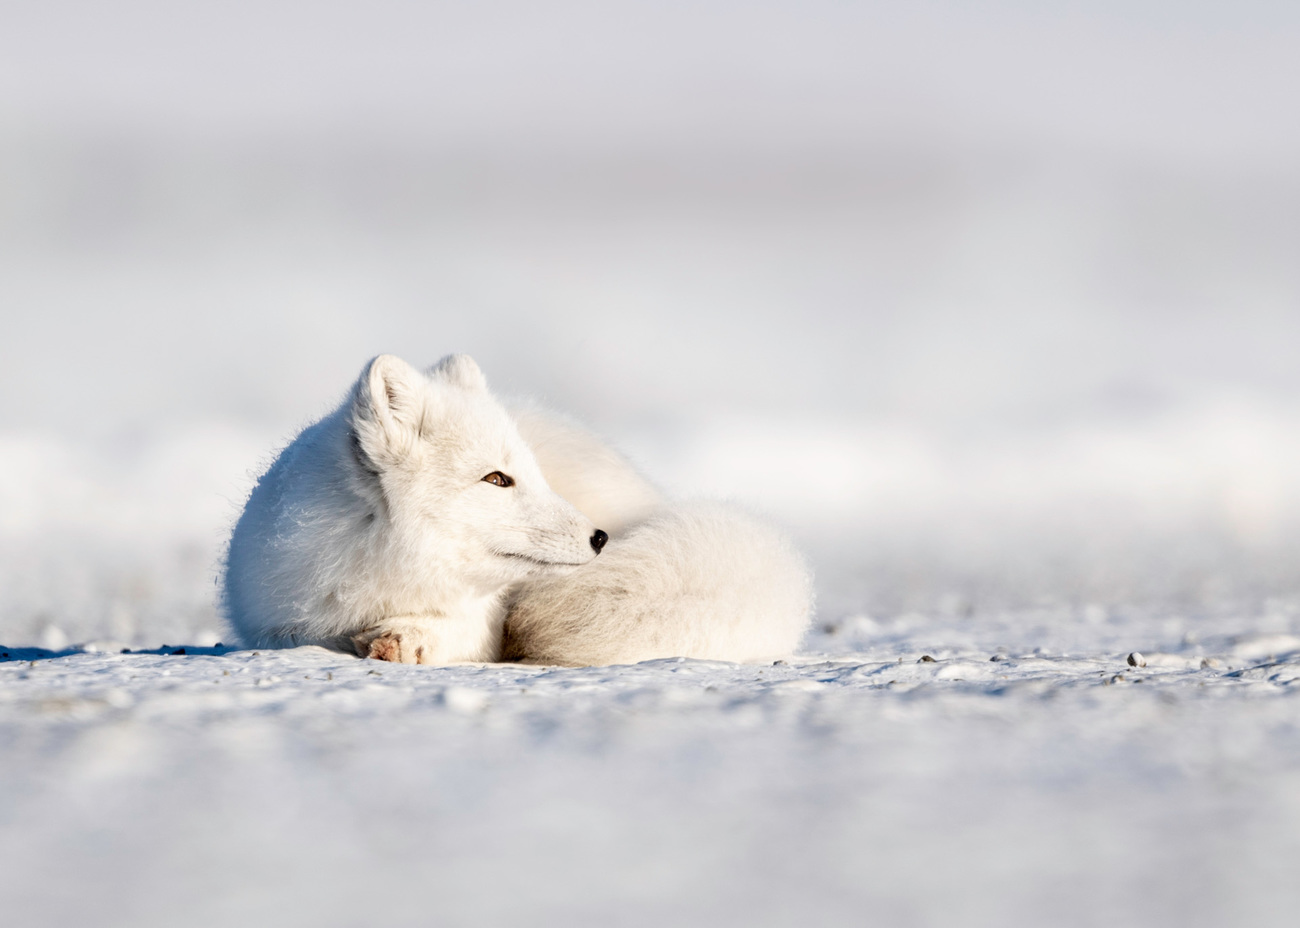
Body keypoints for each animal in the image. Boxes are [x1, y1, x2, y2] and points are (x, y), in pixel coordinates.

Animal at [223, 350, 811, 660]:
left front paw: (406, 637)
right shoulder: (275, 622)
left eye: (531, 474)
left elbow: (461, 634)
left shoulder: (485, 620)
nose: (600, 538)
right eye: (497, 479)